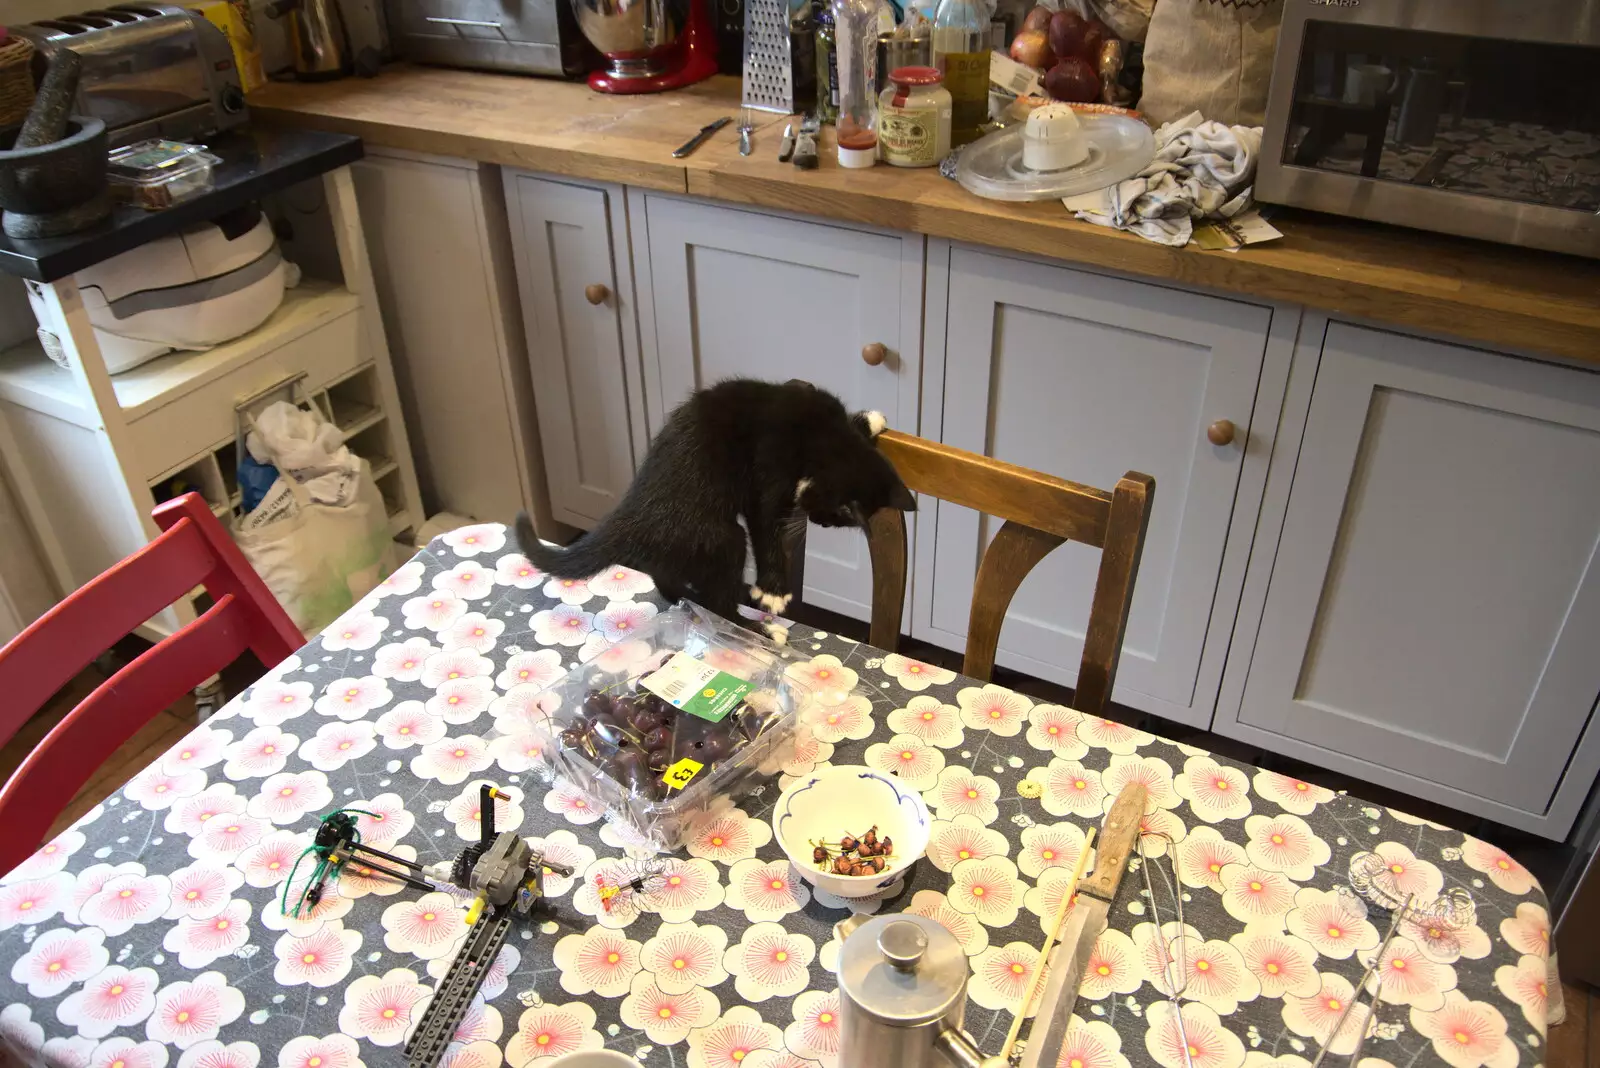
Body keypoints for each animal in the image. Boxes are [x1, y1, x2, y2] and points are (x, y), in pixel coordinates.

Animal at [512, 377, 915, 642]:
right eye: (832, 519)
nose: (816, 519)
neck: (822, 439)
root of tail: (631, 514)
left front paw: (870, 420)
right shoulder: (768, 472)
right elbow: (766, 524)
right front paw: (773, 590)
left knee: (671, 580)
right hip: (720, 537)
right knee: (721, 593)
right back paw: (760, 626)